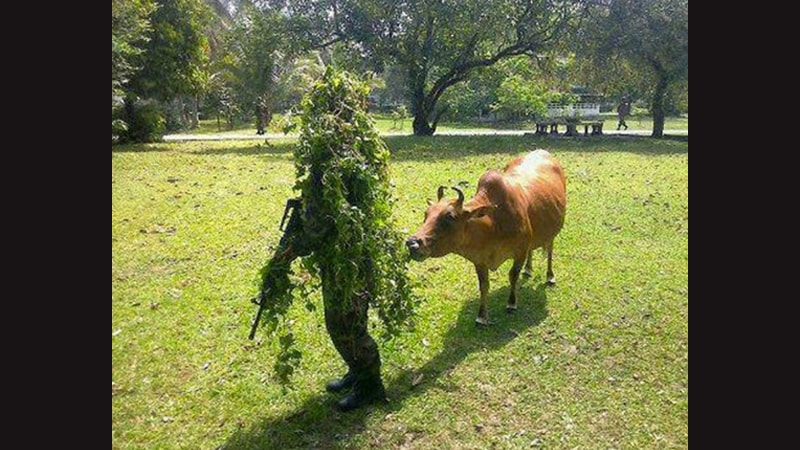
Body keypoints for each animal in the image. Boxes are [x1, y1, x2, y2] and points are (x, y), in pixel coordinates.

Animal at [406, 149, 568, 326]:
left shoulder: (520, 252)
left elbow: (513, 276)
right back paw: (528, 269)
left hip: (553, 231)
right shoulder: (479, 260)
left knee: (550, 250)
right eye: (426, 214)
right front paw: (482, 316)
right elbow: (484, 285)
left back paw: (550, 276)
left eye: (450, 216)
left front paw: (511, 304)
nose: (412, 243)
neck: (493, 224)